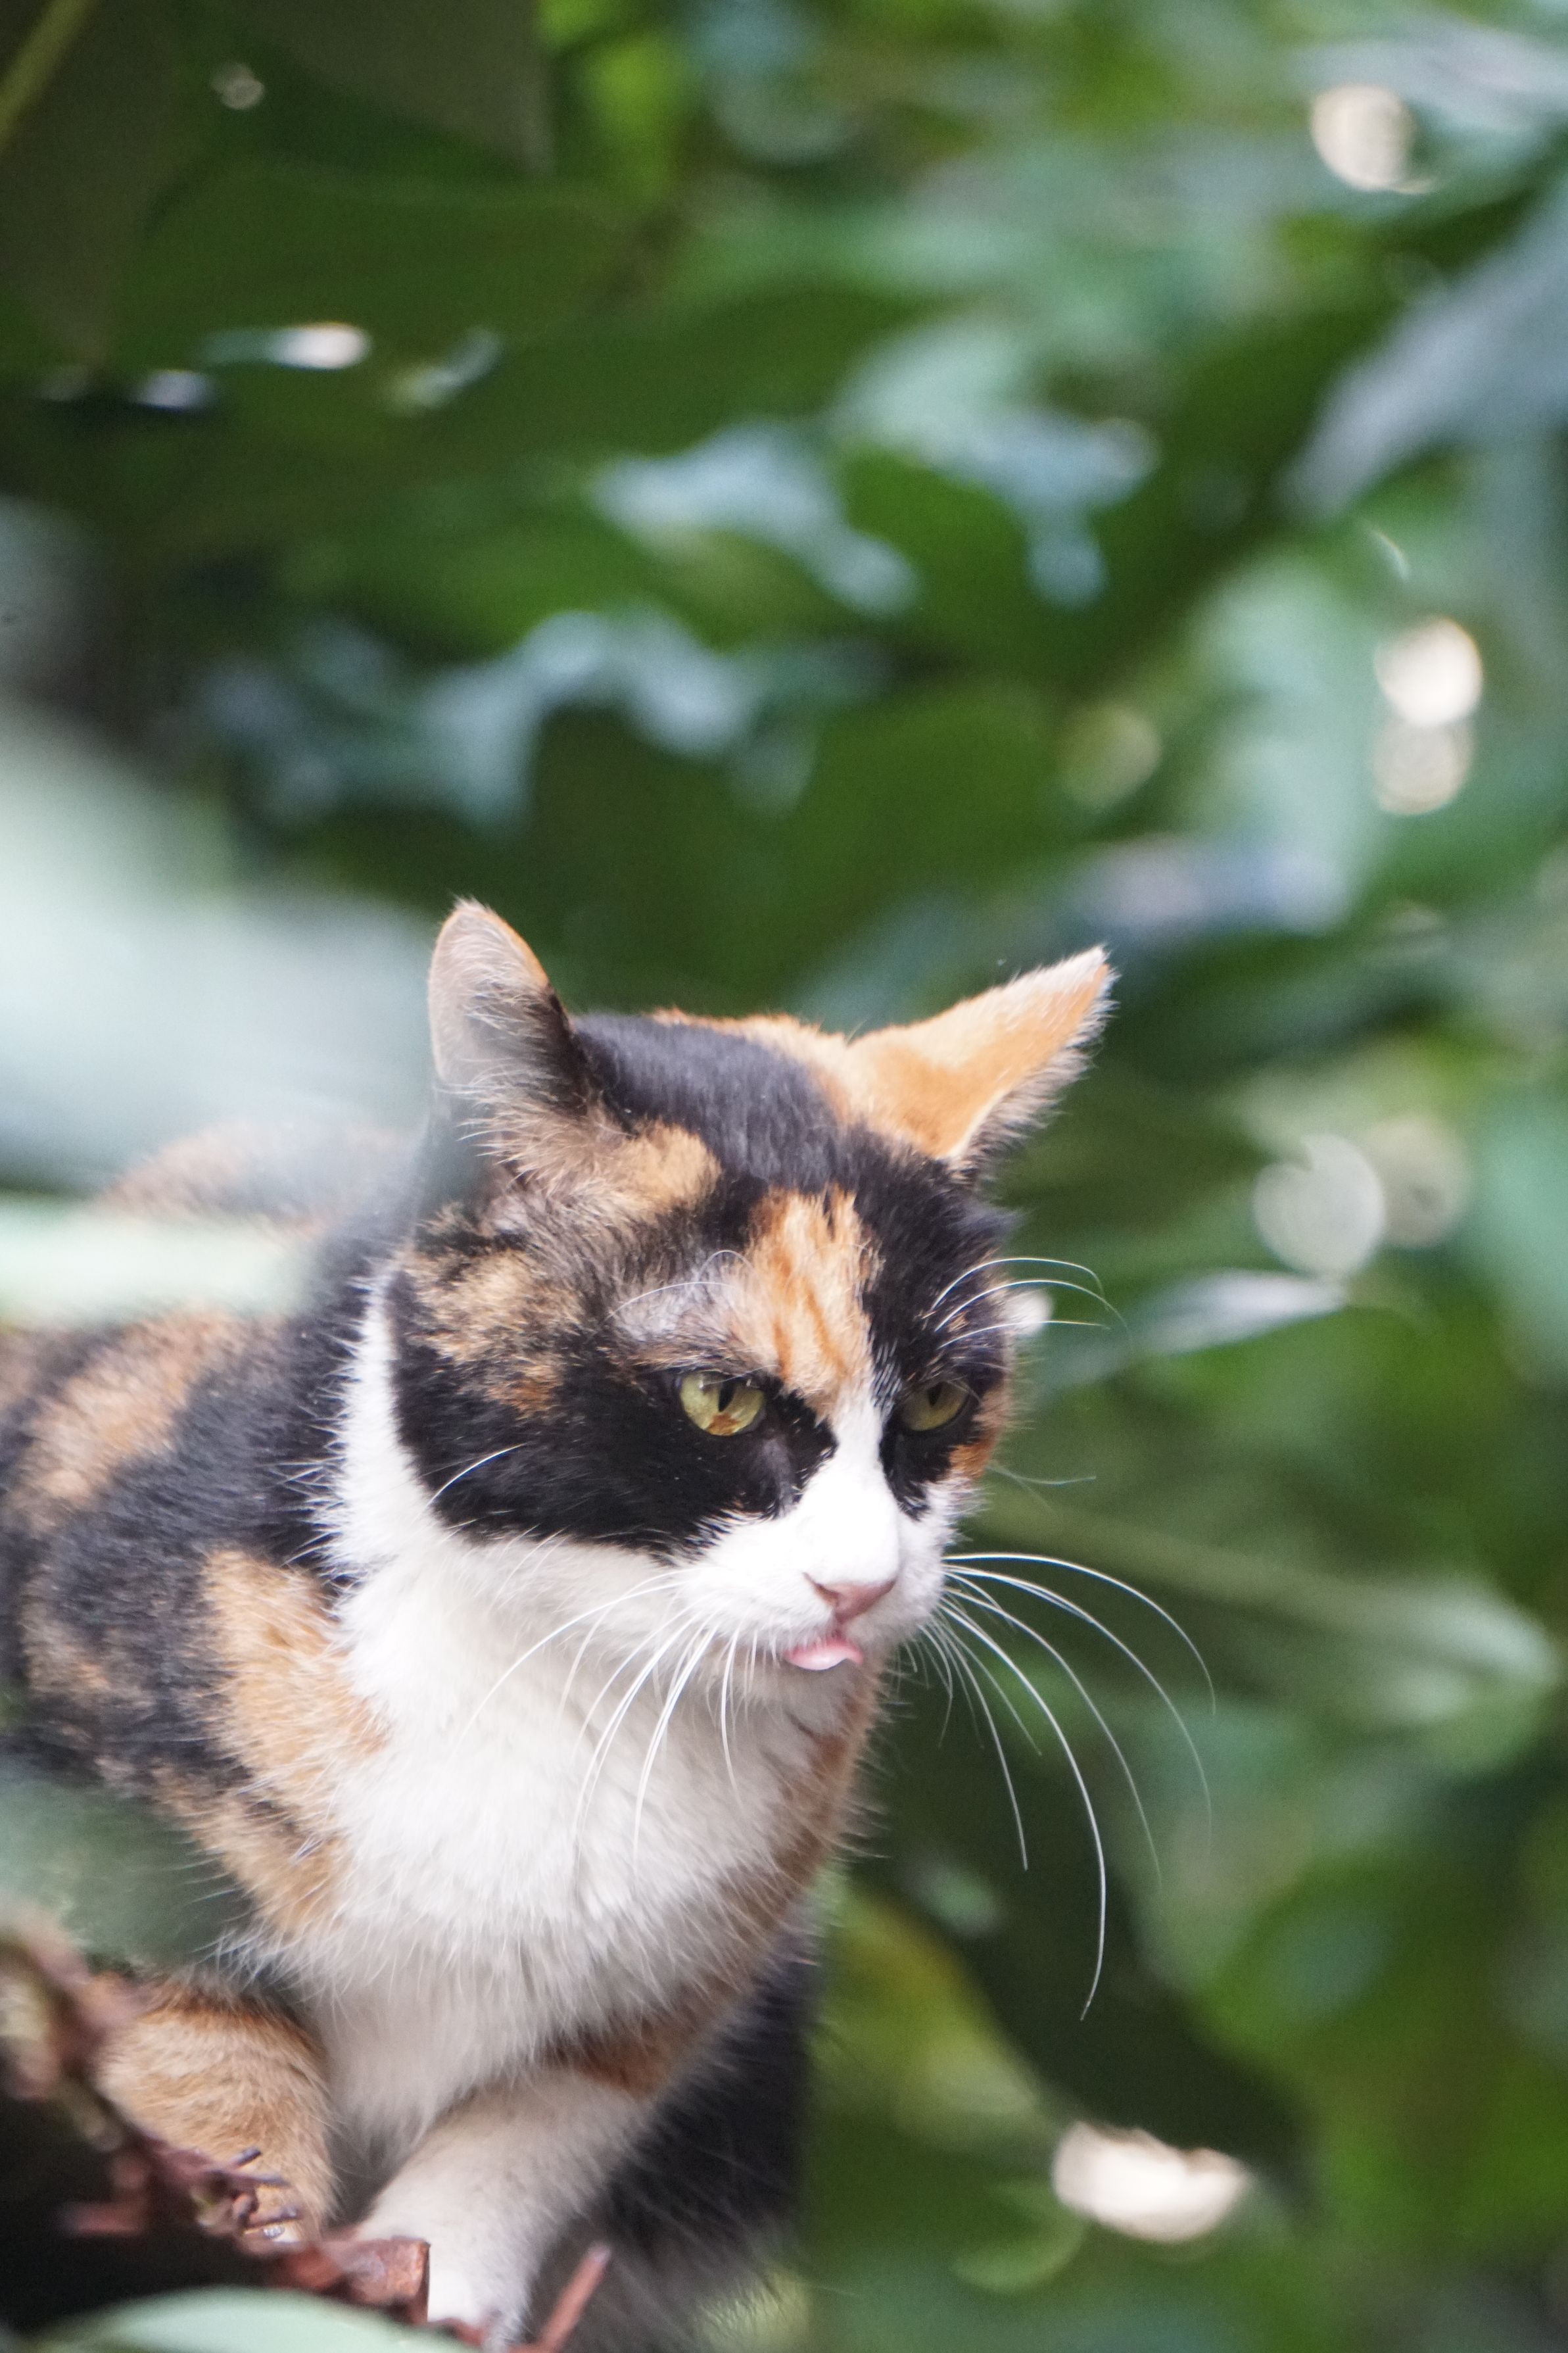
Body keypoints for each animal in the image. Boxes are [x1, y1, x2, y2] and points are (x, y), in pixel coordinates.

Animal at [0, 902, 1110, 2344]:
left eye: (933, 1400)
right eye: (716, 1400)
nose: (863, 1581)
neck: (569, 1670)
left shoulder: (670, 1989)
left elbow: (526, 2134)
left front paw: (443, 2284)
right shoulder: (99, 1813)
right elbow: (201, 2058)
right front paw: (263, 2246)